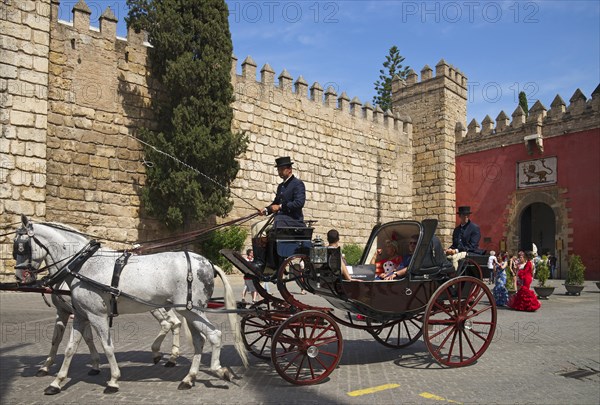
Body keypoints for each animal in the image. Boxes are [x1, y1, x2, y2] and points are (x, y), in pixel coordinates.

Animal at [14, 216, 248, 392]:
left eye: (22, 247)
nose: (19, 278)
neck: (84, 265)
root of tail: (207, 263)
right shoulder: (80, 315)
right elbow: (70, 347)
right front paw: (57, 381)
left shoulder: (96, 315)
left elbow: (107, 346)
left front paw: (113, 380)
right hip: (189, 312)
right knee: (198, 340)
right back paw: (188, 378)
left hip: (190, 310)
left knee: (213, 335)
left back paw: (218, 369)